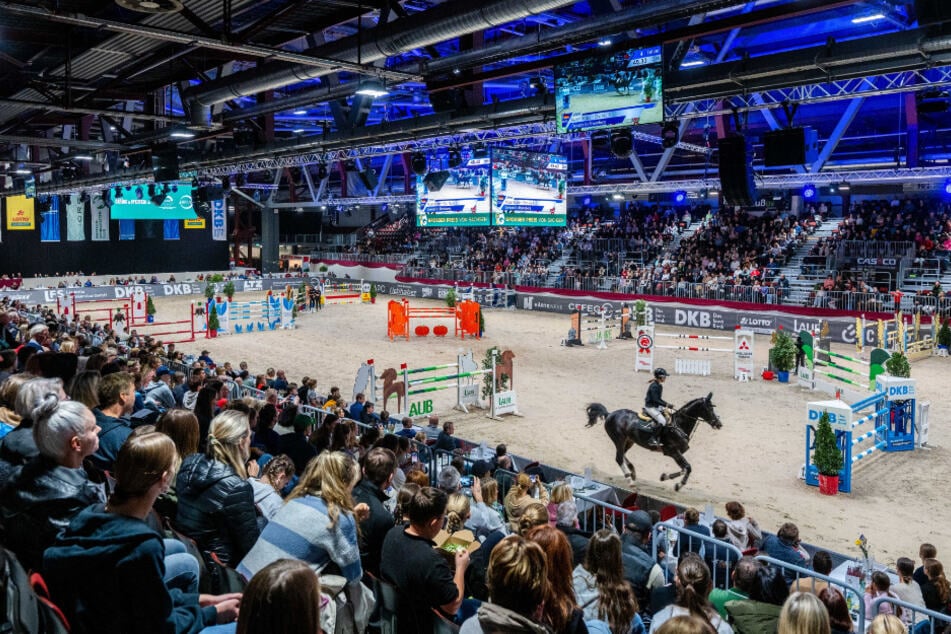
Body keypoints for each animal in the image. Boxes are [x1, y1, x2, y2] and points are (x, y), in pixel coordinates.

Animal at [588, 392, 720, 492]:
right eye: (709, 408)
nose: (719, 424)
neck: (678, 425)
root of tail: (609, 414)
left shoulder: (677, 453)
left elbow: (684, 469)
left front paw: (664, 477)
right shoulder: (672, 451)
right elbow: (688, 467)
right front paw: (678, 485)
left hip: (629, 441)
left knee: (622, 455)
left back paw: (632, 472)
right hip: (619, 439)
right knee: (619, 457)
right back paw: (630, 480)